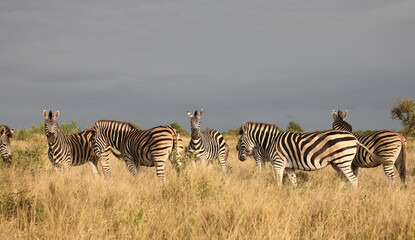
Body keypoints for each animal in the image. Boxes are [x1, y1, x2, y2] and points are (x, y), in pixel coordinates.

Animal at [239, 123, 392, 188]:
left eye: (240, 141)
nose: (240, 158)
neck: (271, 141)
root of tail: (354, 138)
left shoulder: (278, 163)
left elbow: (278, 181)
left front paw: (278, 193)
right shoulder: (289, 167)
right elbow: (294, 182)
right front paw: (295, 197)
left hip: (343, 160)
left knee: (353, 180)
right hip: (337, 163)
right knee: (344, 178)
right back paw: (339, 195)